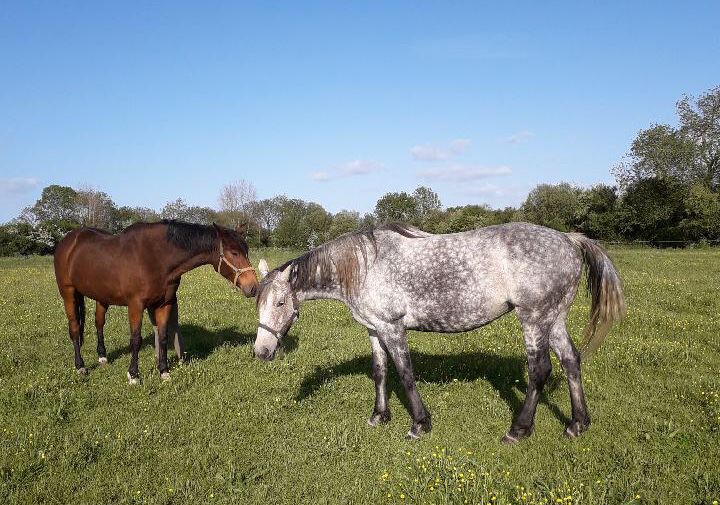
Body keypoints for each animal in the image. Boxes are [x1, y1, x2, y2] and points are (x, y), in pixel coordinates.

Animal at [53, 220, 258, 384]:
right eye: (234, 252)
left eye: (246, 251)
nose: (253, 287)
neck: (155, 257)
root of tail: (69, 240)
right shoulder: (136, 305)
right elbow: (136, 339)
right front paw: (133, 375)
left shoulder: (164, 304)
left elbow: (163, 336)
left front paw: (164, 371)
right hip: (68, 294)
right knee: (74, 329)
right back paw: (80, 366)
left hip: (101, 297)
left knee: (99, 323)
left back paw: (102, 356)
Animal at [253, 222, 625, 442]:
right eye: (257, 303)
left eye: (281, 302)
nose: (262, 351)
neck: (363, 267)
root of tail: (568, 239)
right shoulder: (374, 329)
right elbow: (379, 372)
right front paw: (378, 416)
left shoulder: (392, 328)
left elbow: (405, 374)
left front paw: (419, 424)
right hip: (555, 318)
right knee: (571, 361)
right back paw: (577, 424)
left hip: (534, 318)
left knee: (540, 370)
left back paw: (518, 430)